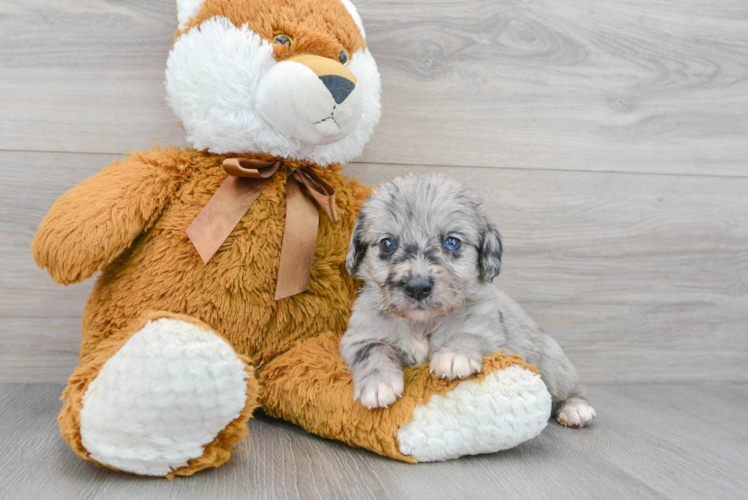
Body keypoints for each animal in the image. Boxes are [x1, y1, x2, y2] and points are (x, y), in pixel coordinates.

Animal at [342, 174, 600, 428]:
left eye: (452, 242)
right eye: (387, 244)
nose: (417, 287)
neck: (422, 324)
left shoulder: (488, 331)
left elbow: (468, 335)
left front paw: (454, 355)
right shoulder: (359, 337)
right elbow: (374, 350)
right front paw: (378, 383)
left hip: (553, 364)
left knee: (570, 390)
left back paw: (575, 408)